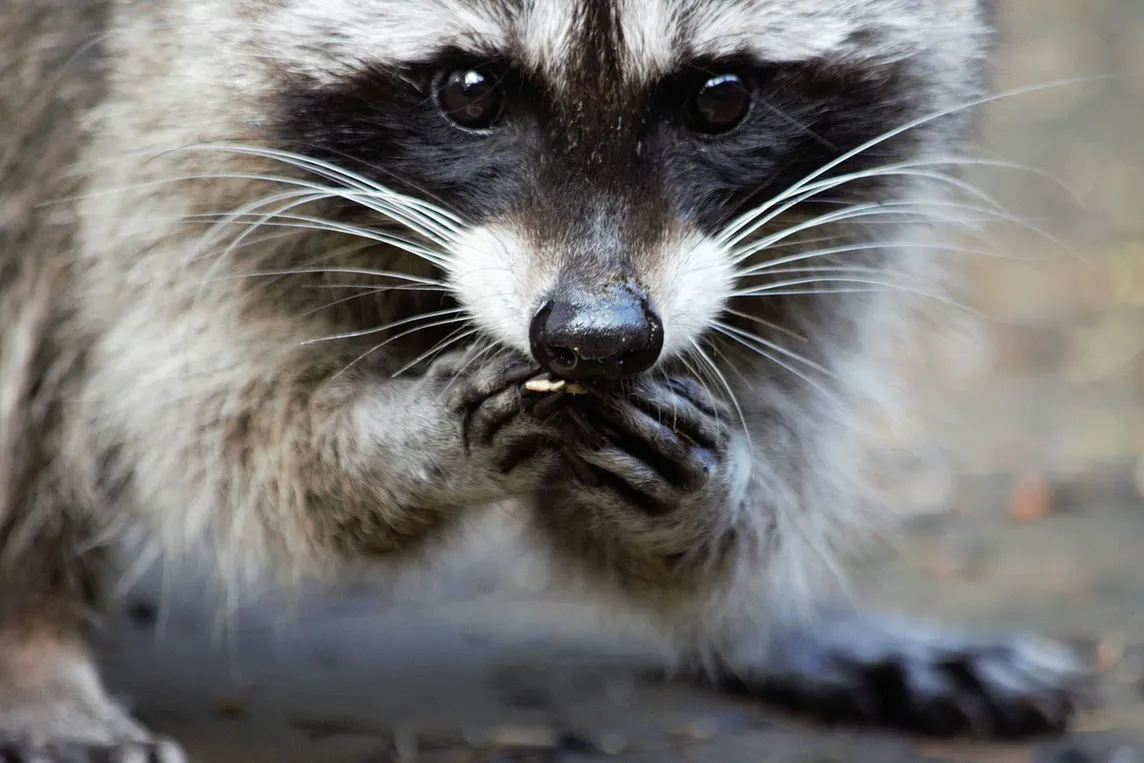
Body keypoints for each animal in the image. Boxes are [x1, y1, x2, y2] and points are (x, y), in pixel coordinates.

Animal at [0, 0, 1089, 759]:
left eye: (721, 97)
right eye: (469, 91)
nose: (598, 339)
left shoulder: (827, 199)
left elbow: (776, 350)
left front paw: (724, 533)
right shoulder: (171, 115)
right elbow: (197, 412)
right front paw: (391, 449)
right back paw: (33, 644)